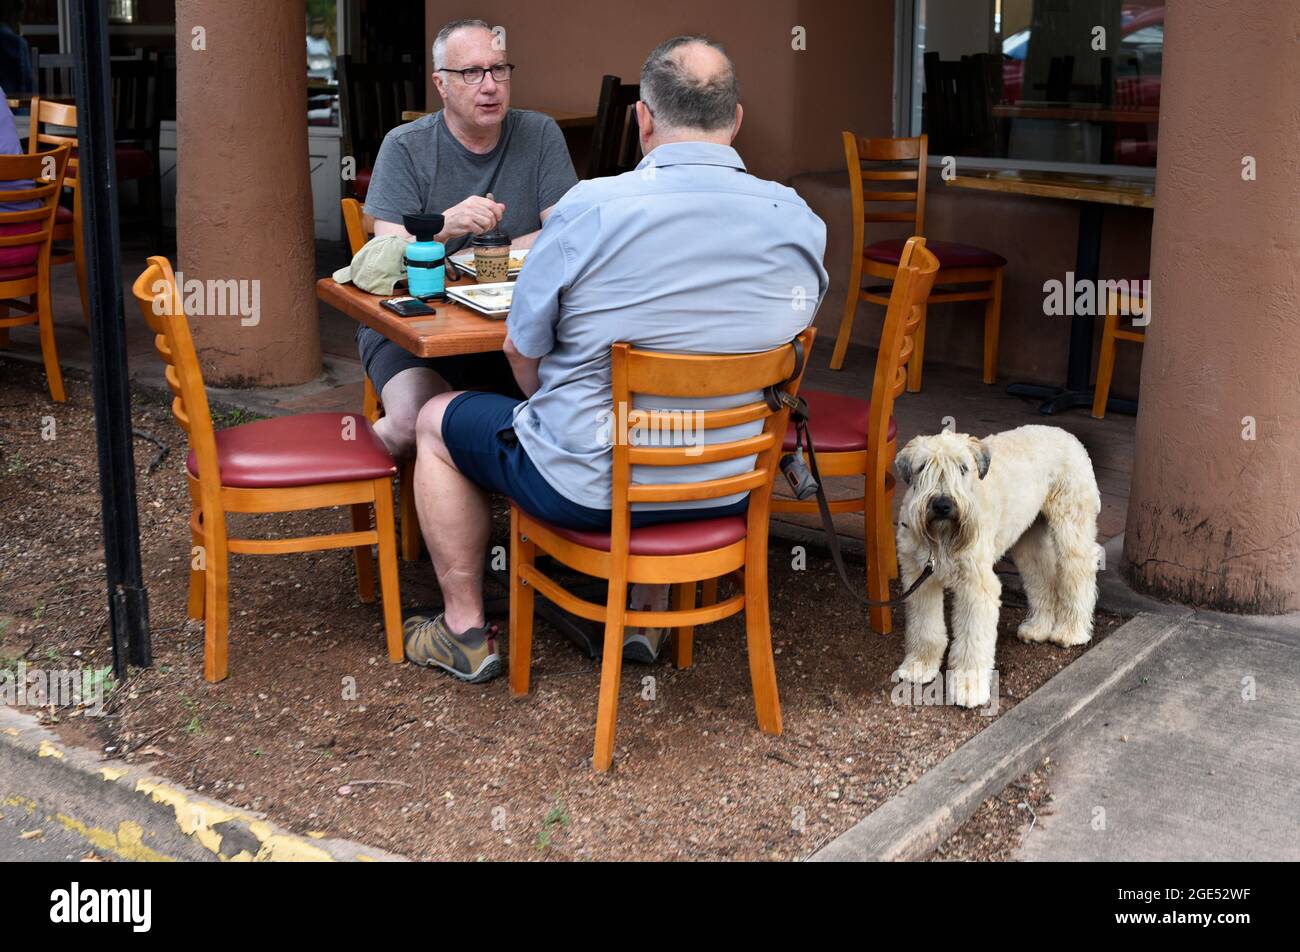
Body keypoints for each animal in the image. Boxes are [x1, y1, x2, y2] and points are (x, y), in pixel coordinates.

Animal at [894, 423, 1097, 707]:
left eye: (963, 467)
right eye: (923, 466)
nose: (943, 504)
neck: (941, 540)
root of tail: (1067, 435)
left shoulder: (976, 586)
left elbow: (972, 639)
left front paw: (969, 687)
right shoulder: (919, 579)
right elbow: (924, 627)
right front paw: (920, 666)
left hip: (1071, 528)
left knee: (1079, 573)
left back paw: (1072, 631)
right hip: (1029, 541)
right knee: (1043, 576)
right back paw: (1038, 628)